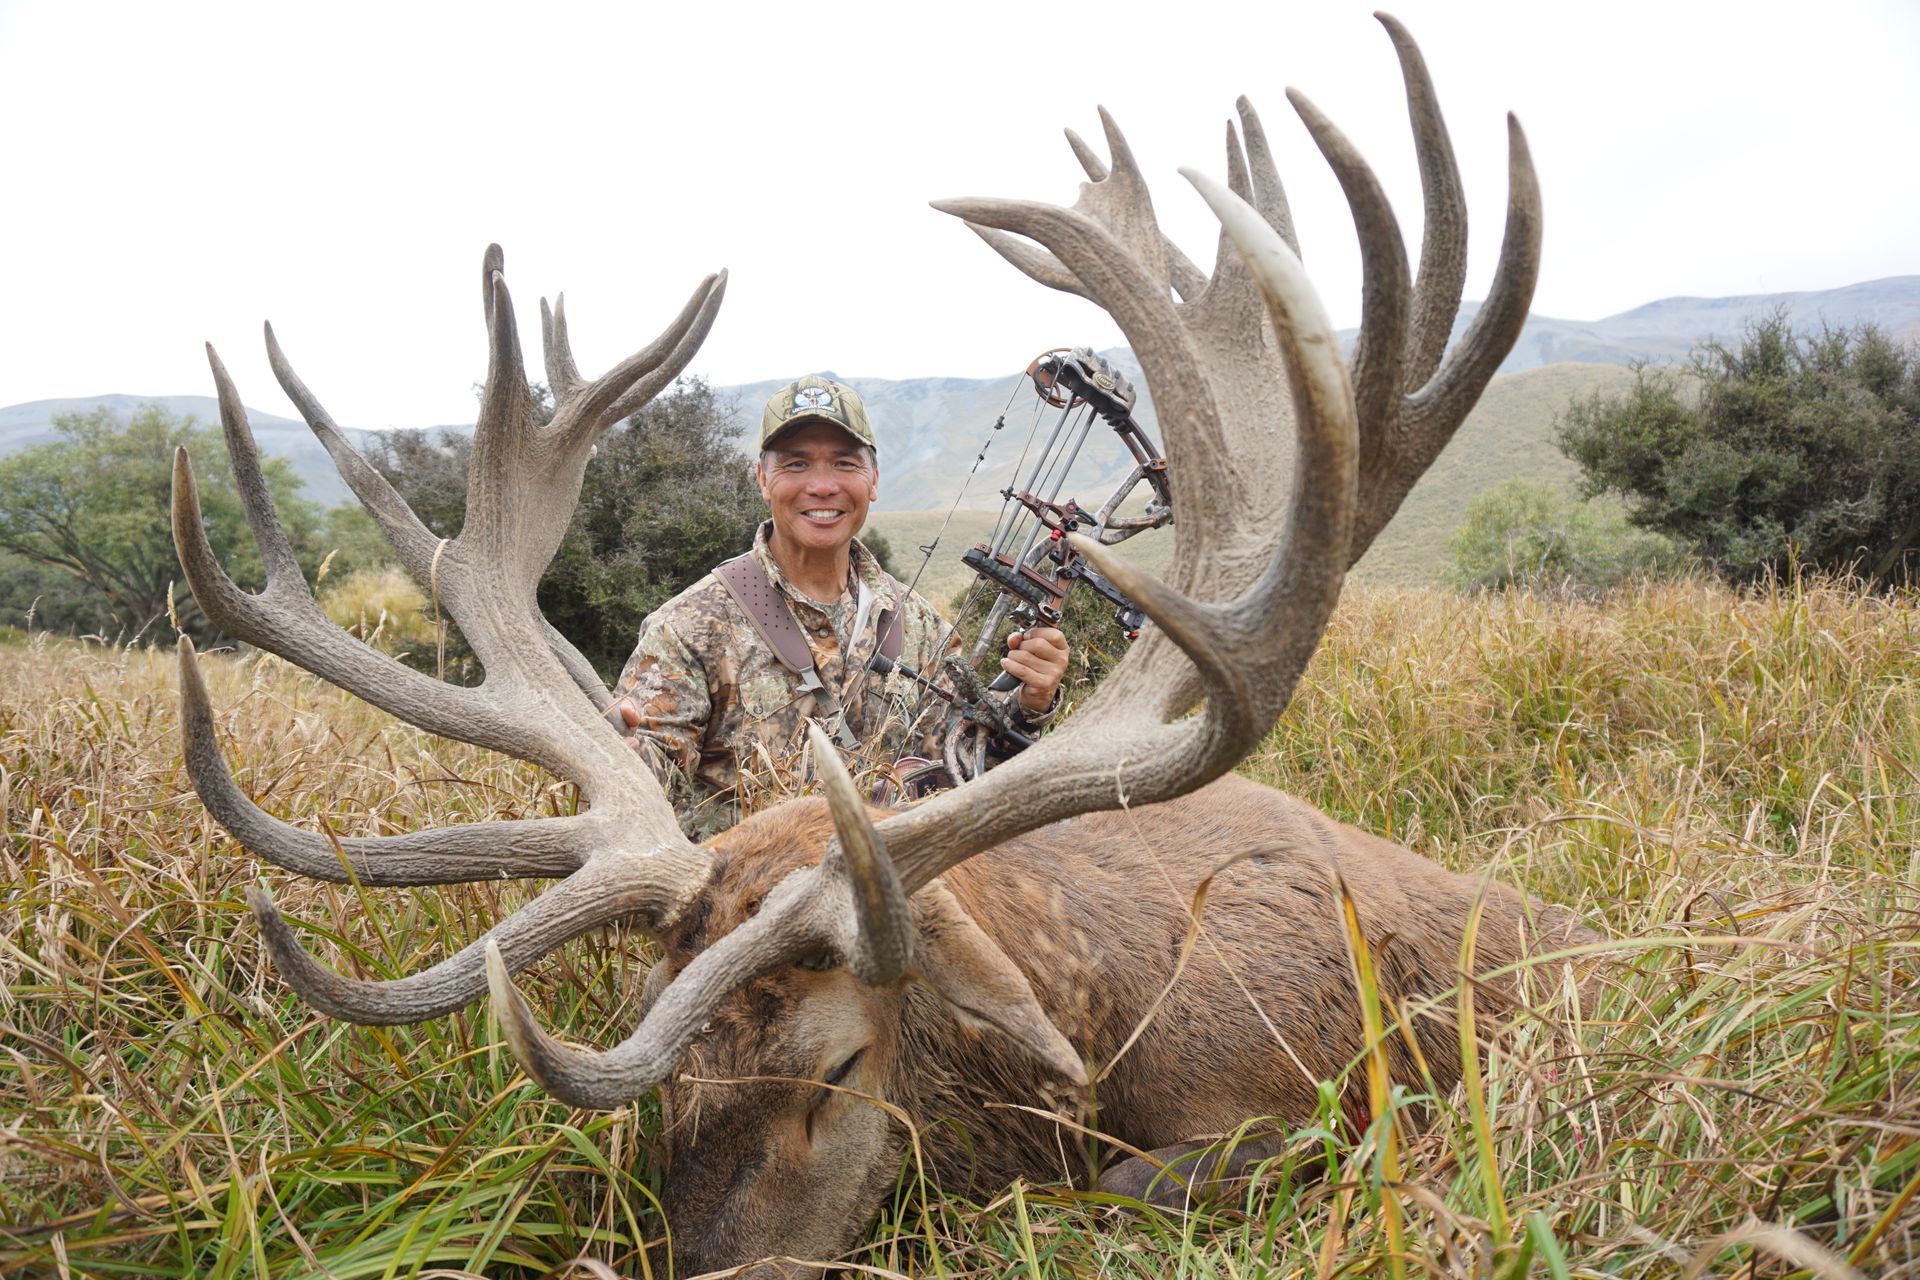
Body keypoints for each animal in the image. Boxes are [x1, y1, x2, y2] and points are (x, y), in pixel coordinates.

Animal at [169, 15, 1590, 1277]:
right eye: (668, 1078)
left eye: (842, 1065)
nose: (715, 1266)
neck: (1098, 1017)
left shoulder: (1315, 1091)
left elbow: (1132, 1185)